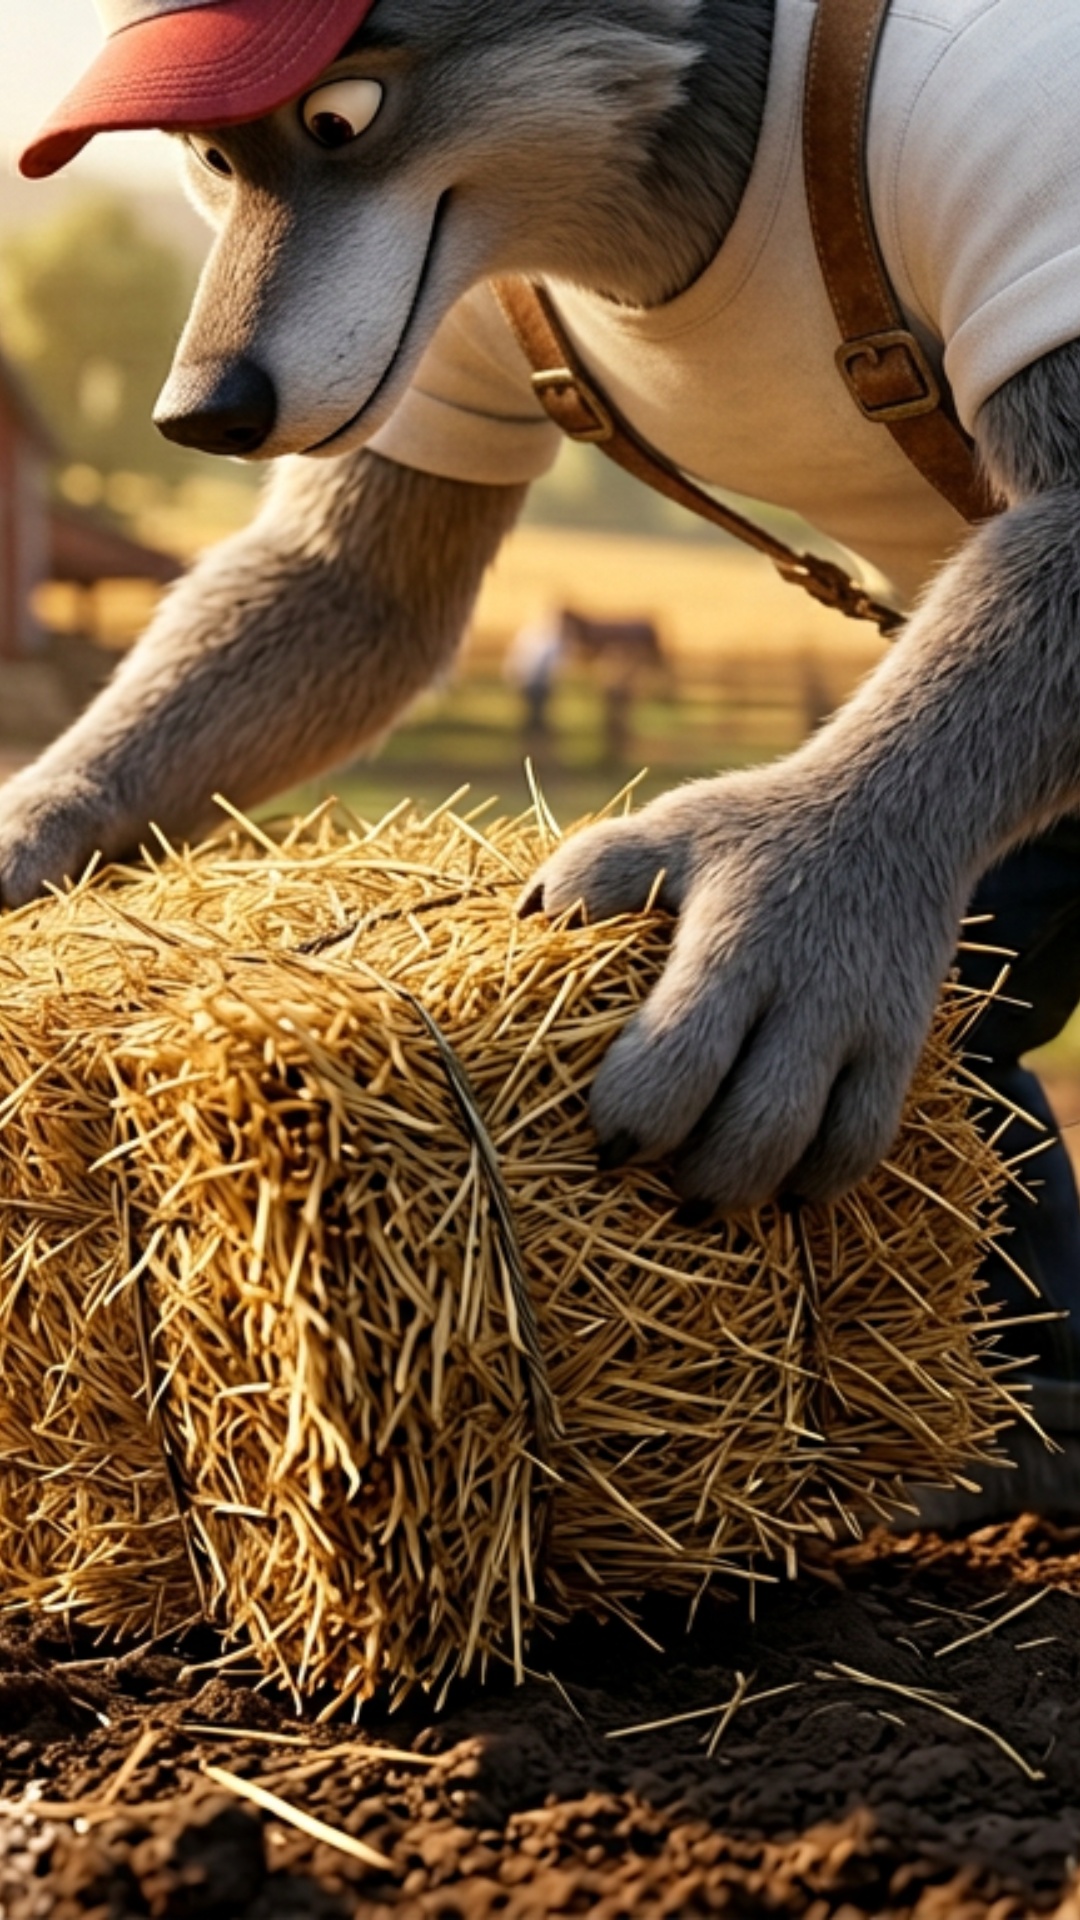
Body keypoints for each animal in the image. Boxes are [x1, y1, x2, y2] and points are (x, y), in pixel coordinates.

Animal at [13, 0, 1080, 1258]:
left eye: (340, 116)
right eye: (212, 162)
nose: (197, 415)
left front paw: (798, 889)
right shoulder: (448, 322)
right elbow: (354, 580)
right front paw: (32, 821)